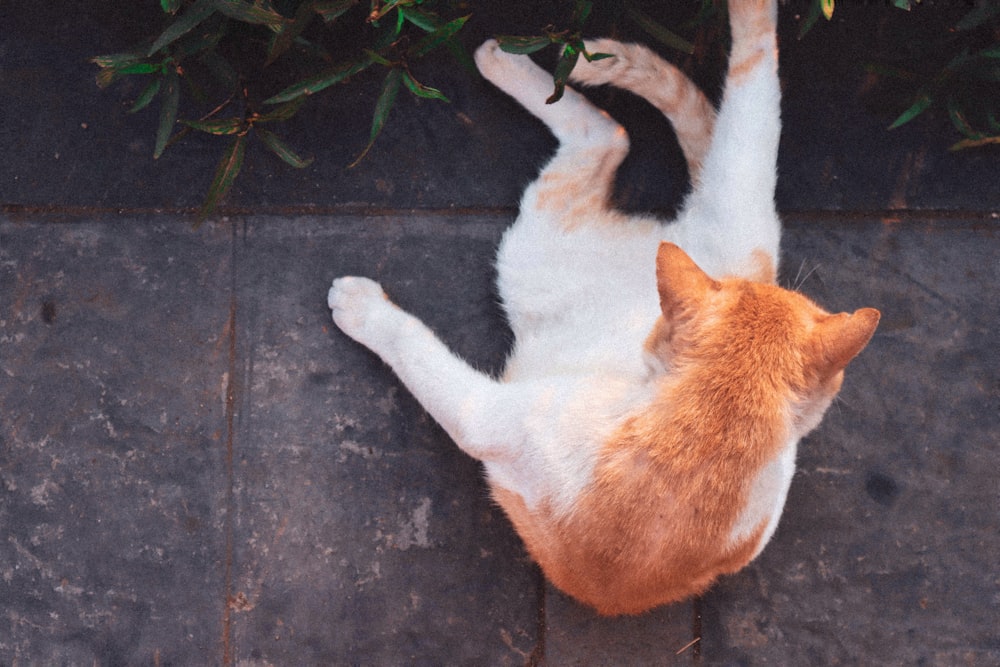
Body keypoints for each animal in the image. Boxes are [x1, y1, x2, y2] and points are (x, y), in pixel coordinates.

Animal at [326, 0, 876, 620]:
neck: (715, 424)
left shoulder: (490, 419)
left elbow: (418, 355)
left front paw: (359, 307)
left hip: (530, 250)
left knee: (607, 136)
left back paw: (502, 60)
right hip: (745, 218)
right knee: (744, 104)